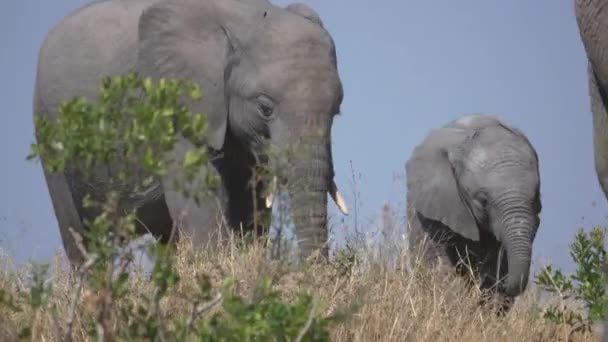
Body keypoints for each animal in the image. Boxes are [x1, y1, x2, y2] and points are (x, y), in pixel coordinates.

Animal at [33, 0, 350, 268]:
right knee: (80, 239)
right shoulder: (175, 105)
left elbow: (249, 201)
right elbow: (200, 205)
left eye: (336, 111)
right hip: (50, 137)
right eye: (265, 108)